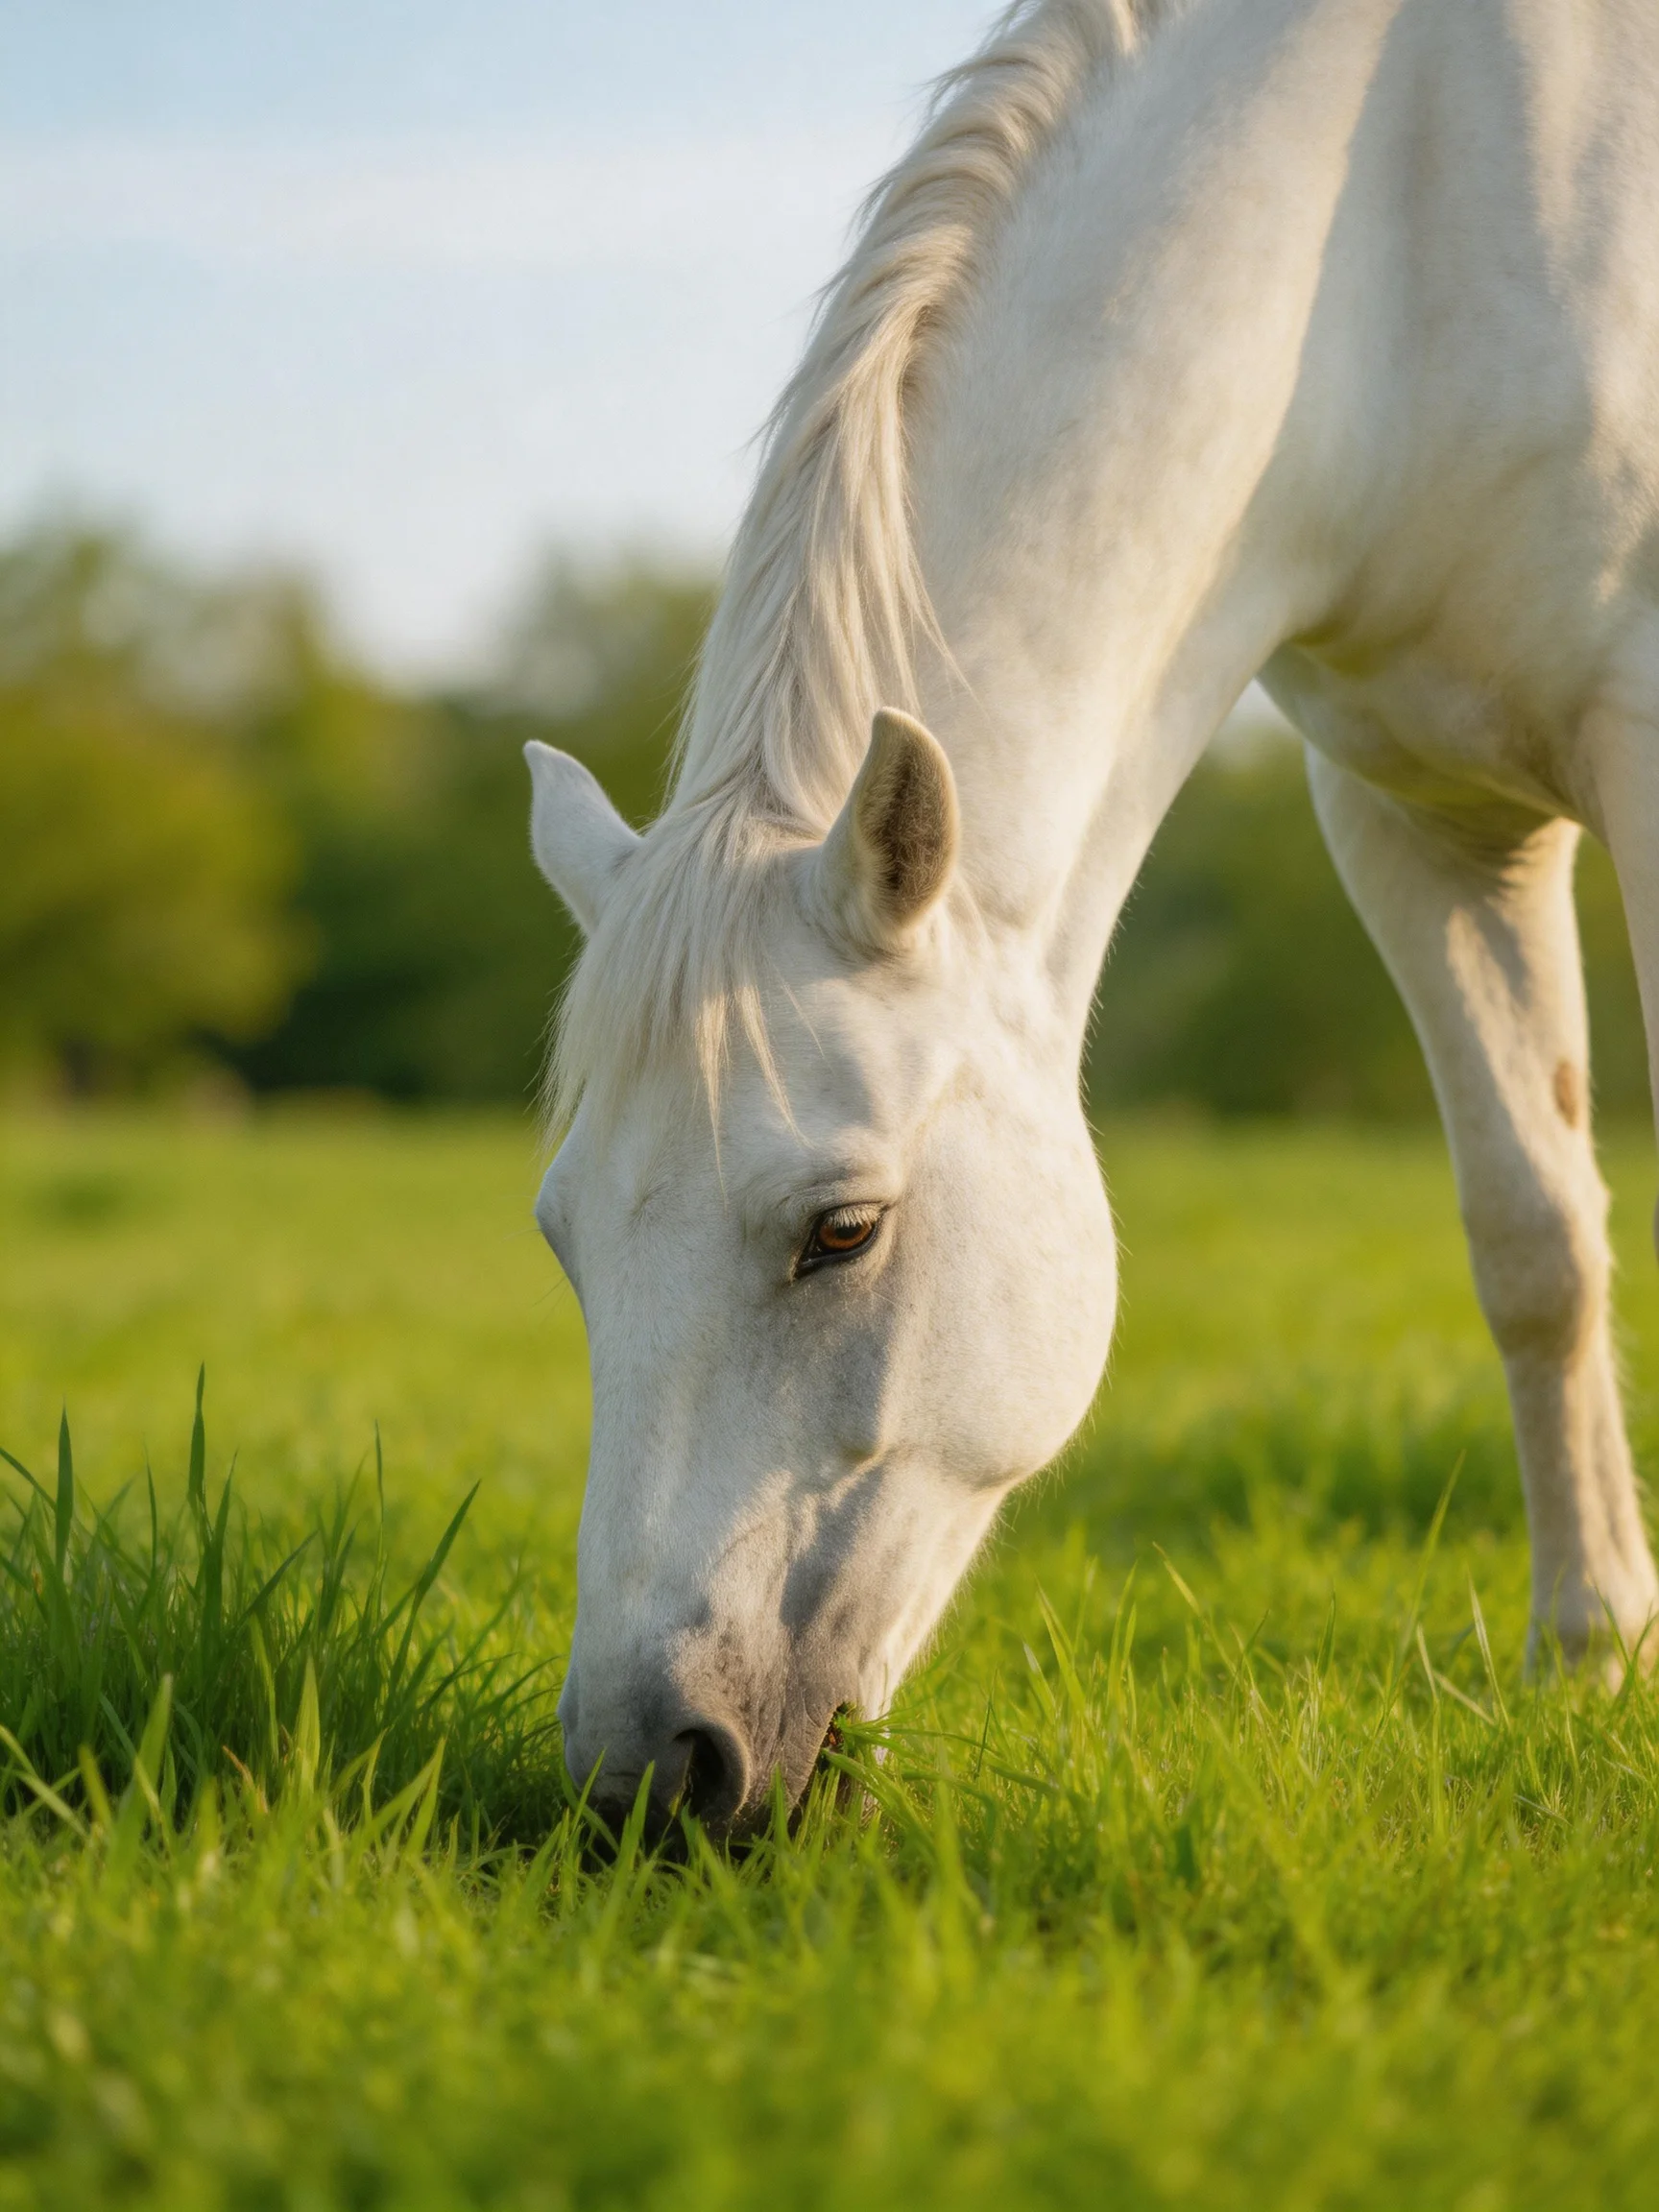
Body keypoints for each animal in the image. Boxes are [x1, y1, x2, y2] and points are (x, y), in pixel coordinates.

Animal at [525, 0, 1659, 1836]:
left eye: (842, 1228)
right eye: (564, 1238)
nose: (646, 1773)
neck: (1399, 209)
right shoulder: (1412, 816)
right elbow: (1533, 1240)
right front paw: (1593, 1656)